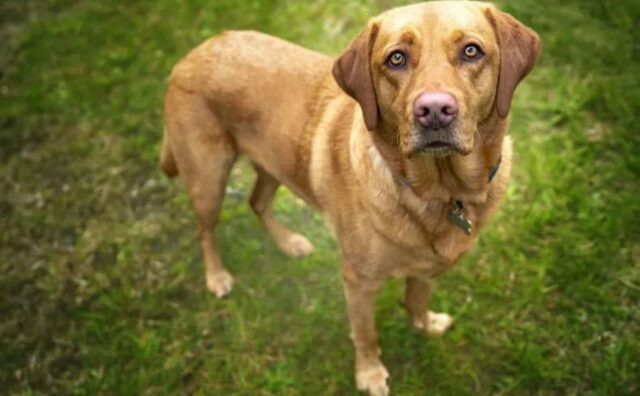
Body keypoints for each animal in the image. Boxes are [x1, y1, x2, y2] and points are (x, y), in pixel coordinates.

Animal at [159, 1, 536, 394]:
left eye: (471, 51)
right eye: (396, 58)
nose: (434, 110)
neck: (441, 192)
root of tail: (195, 50)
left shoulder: (429, 268)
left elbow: (416, 300)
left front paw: (425, 324)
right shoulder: (358, 282)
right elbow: (366, 334)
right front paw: (369, 375)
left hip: (275, 162)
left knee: (256, 202)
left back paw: (290, 243)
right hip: (209, 178)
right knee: (205, 230)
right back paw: (217, 276)